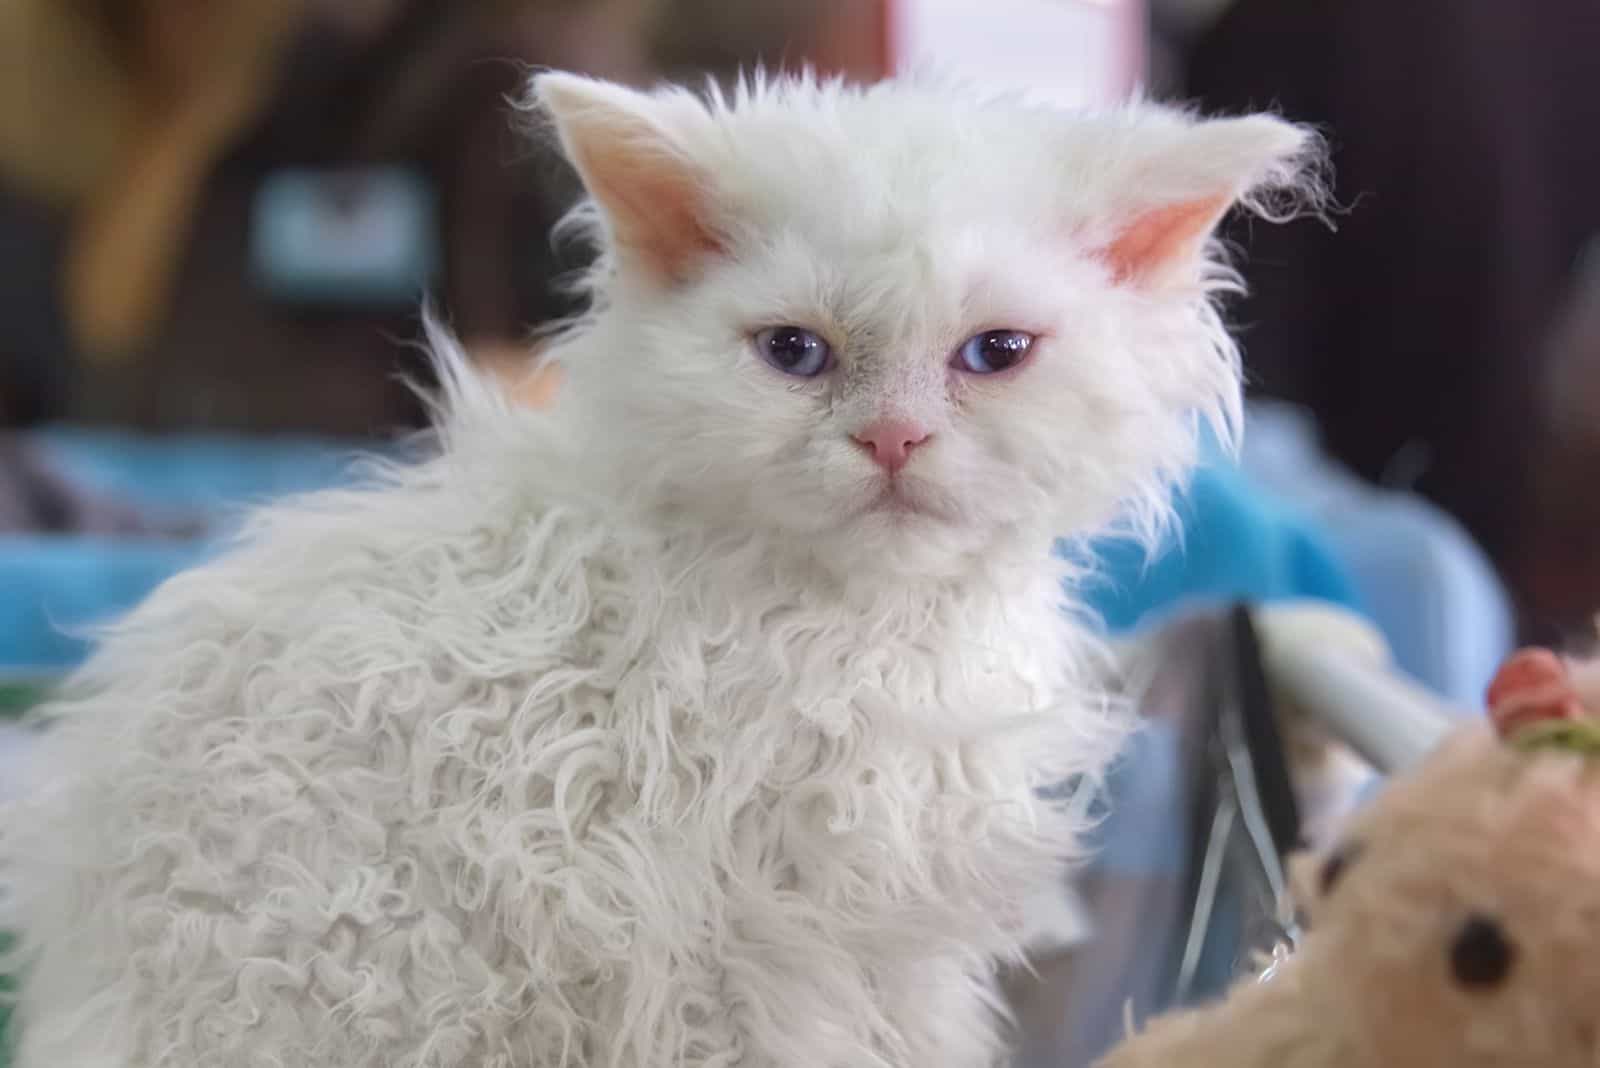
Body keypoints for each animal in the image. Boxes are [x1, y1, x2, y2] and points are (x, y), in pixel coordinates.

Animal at [0, 73, 1318, 1068]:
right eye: (794, 354)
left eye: (993, 354)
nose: (893, 440)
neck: (851, 630)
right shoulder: (765, 940)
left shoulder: (873, 932)